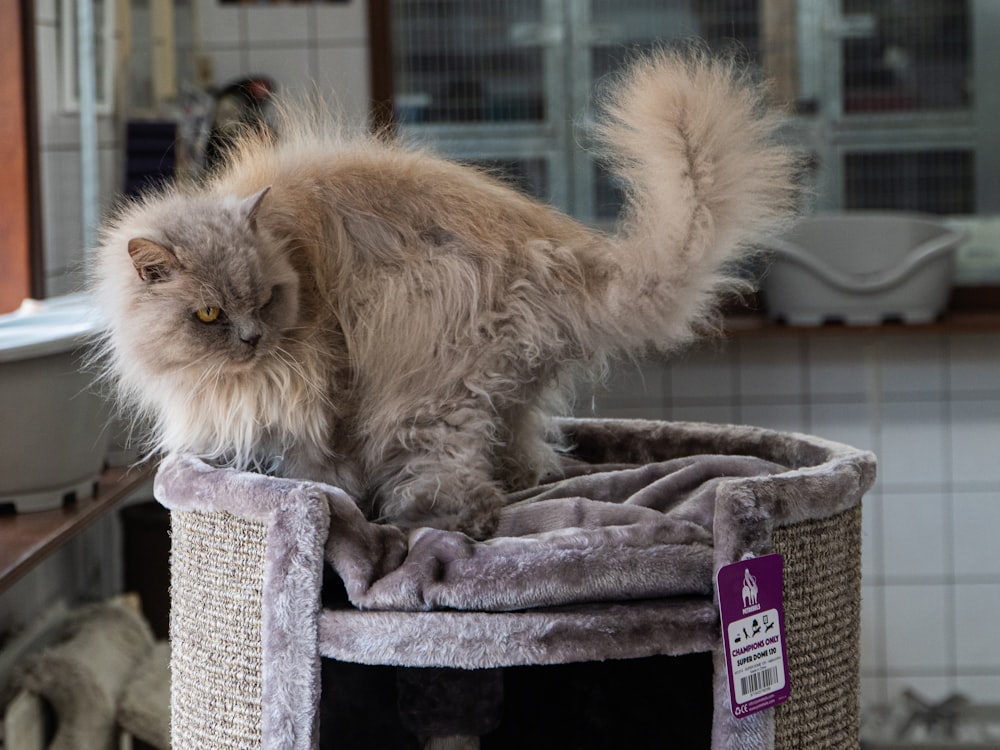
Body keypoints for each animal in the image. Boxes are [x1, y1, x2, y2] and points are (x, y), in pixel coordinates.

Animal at [92, 50, 796, 536]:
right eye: (210, 313)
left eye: (264, 299)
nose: (251, 337)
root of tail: (563, 253)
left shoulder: (319, 394)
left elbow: (315, 472)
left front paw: (323, 501)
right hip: (503, 390)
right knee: (524, 460)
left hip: (425, 390)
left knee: (465, 491)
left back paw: (423, 521)